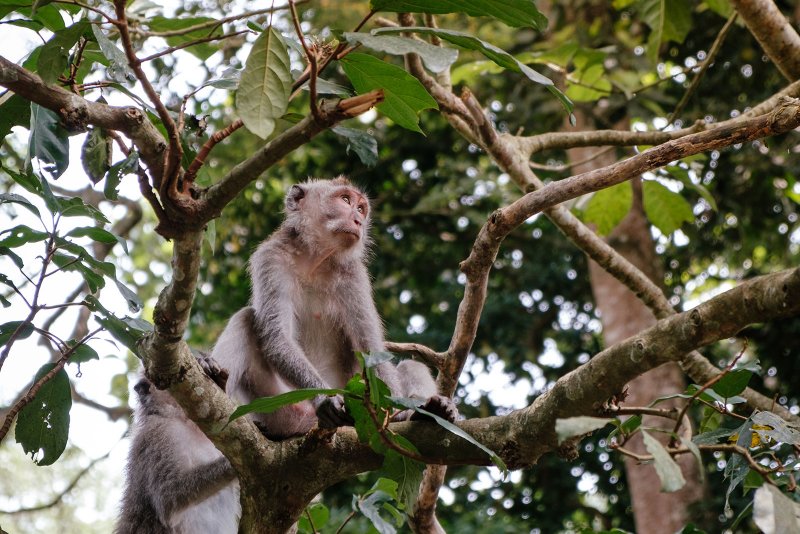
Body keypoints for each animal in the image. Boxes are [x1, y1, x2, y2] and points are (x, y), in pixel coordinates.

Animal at [211, 178, 456, 442]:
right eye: (345, 200)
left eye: (361, 209)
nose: (358, 221)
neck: (315, 260)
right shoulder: (271, 259)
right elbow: (278, 337)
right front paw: (324, 399)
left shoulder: (354, 276)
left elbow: (371, 349)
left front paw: (396, 414)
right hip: (281, 409)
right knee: (246, 318)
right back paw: (215, 375)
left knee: (411, 366)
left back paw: (429, 411)